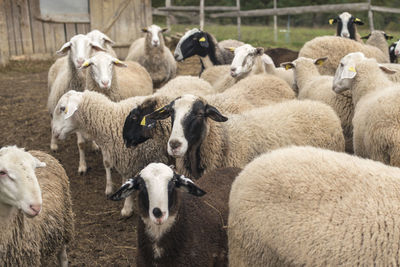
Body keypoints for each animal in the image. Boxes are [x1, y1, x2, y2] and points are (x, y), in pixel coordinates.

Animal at [53, 76, 216, 218]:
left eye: (62, 108)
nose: (54, 132)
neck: (111, 120)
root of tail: (194, 77)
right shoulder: (129, 160)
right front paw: (127, 206)